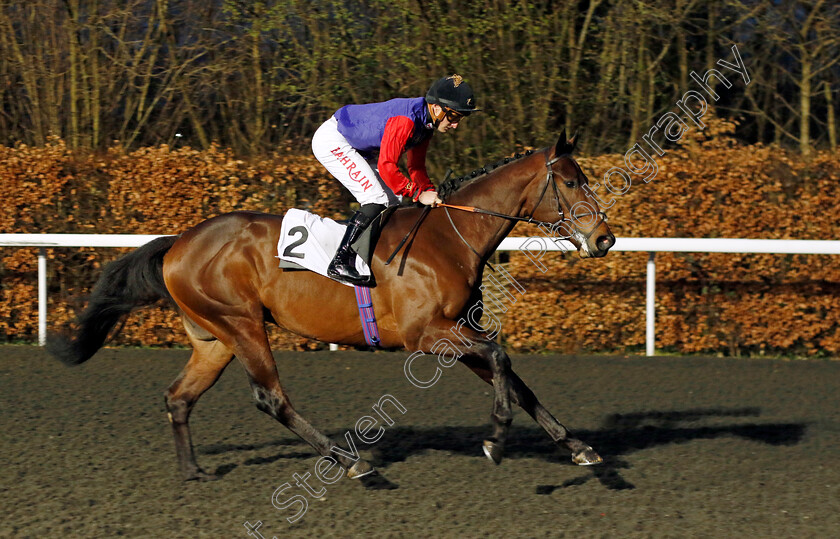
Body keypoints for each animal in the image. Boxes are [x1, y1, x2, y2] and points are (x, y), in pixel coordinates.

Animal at [50, 133, 616, 484]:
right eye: (571, 181)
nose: (605, 238)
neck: (450, 237)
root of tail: (178, 242)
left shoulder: (456, 330)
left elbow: (514, 377)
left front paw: (578, 448)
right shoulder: (426, 335)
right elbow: (501, 361)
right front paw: (495, 440)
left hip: (214, 338)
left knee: (179, 397)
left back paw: (192, 470)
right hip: (242, 324)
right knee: (271, 398)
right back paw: (350, 462)